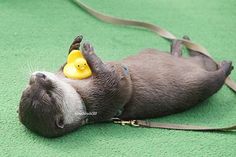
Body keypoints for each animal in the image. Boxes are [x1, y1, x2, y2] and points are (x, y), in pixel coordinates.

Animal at [18, 35, 232, 137]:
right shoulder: (105, 94)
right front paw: (87, 49)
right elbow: (114, 79)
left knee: (187, 55)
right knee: (214, 74)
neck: (80, 93)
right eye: (49, 96)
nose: (38, 76)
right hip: (204, 82)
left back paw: (179, 43)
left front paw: (75, 45)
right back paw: (225, 66)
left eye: (28, 87)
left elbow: (65, 63)